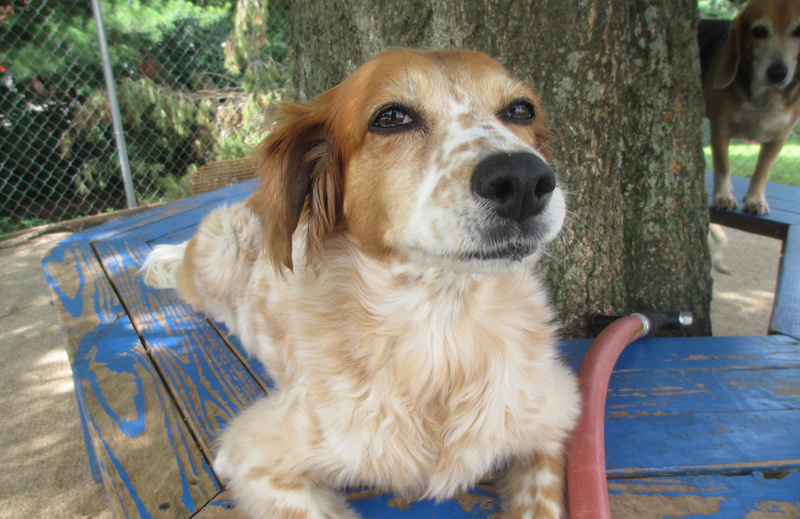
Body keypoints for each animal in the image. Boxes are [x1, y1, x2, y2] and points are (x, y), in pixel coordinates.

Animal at [144, 48, 580, 519]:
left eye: (521, 110)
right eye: (391, 117)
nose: (523, 180)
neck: (443, 332)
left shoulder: (551, 419)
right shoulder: (247, 452)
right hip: (220, 246)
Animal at [700, 0, 800, 215]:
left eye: (798, 30)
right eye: (759, 31)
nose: (777, 73)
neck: (764, 96)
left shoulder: (779, 137)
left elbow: (762, 170)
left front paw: (756, 199)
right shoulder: (720, 128)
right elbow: (723, 165)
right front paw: (723, 196)